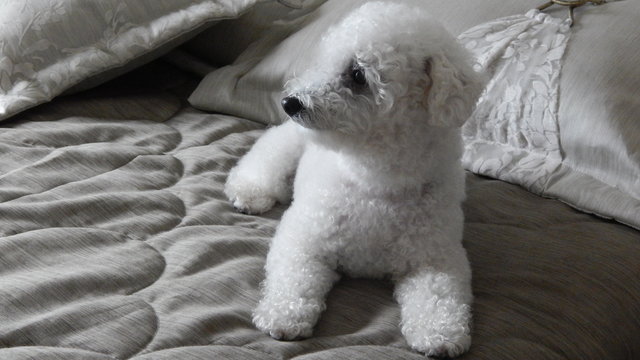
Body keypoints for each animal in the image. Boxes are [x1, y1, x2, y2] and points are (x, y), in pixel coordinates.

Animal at [222, 1, 482, 358]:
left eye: (358, 75)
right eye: (324, 61)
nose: (290, 102)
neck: (376, 181)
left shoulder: (436, 258)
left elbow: (440, 295)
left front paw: (439, 333)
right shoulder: (304, 239)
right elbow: (293, 277)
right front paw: (283, 314)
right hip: (287, 145)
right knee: (263, 160)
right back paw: (249, 192)